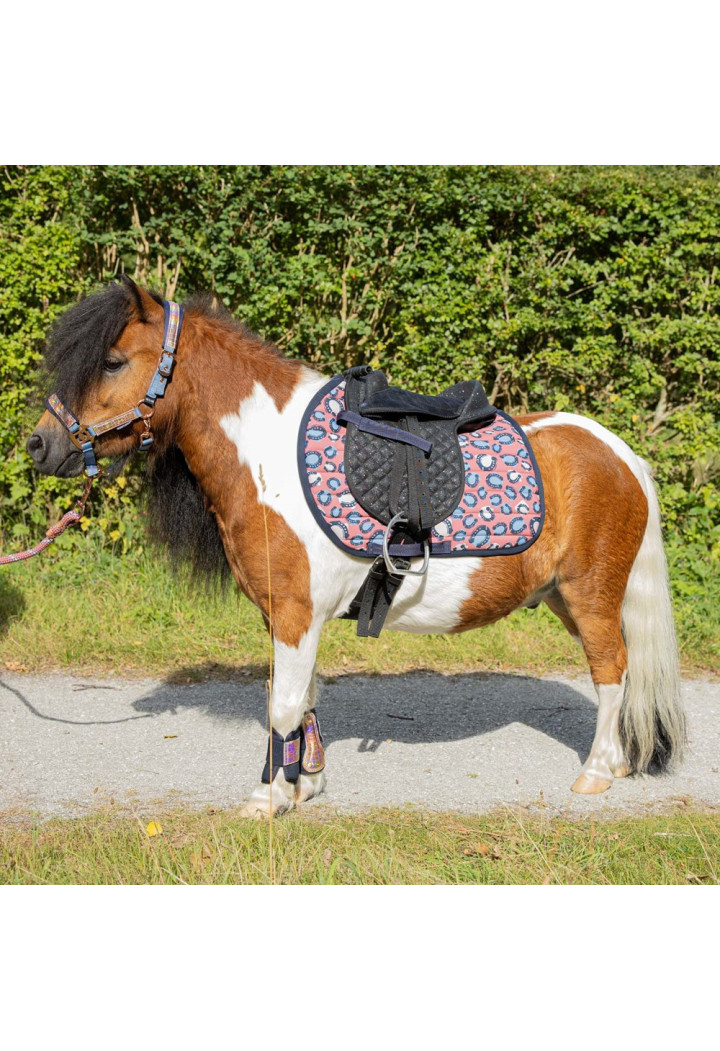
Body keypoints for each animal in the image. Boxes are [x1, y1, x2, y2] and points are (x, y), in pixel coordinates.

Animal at [26, 278, 686, 816]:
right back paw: (617, 763)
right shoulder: (286, 618)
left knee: (612, 671)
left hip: (591, 595)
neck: (267, 454)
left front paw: (269, 799)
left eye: (113, 362)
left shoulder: (296, 614)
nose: (39, 445)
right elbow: (301, 699)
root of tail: (619, 453)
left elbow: (284, 705)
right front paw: (304, 784)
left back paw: (596, 774)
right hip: (563, 598)